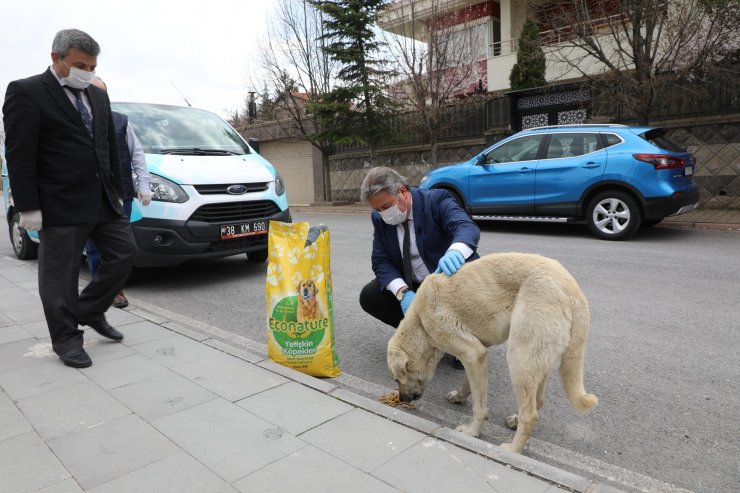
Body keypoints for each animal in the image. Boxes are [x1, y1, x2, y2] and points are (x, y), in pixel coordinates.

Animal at [390, 252, 600, 452]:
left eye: (396, 379)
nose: (401, 400)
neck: (420, 323)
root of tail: (575, 292)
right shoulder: (476, 356)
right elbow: (469, 384)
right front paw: (460, 396)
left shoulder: (473, 354)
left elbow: (479, 407)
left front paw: (472, 432)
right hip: (537, 359)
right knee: (538, 401)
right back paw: (515, 420)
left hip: (519, 358)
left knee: (530, 415)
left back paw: (512, 450)